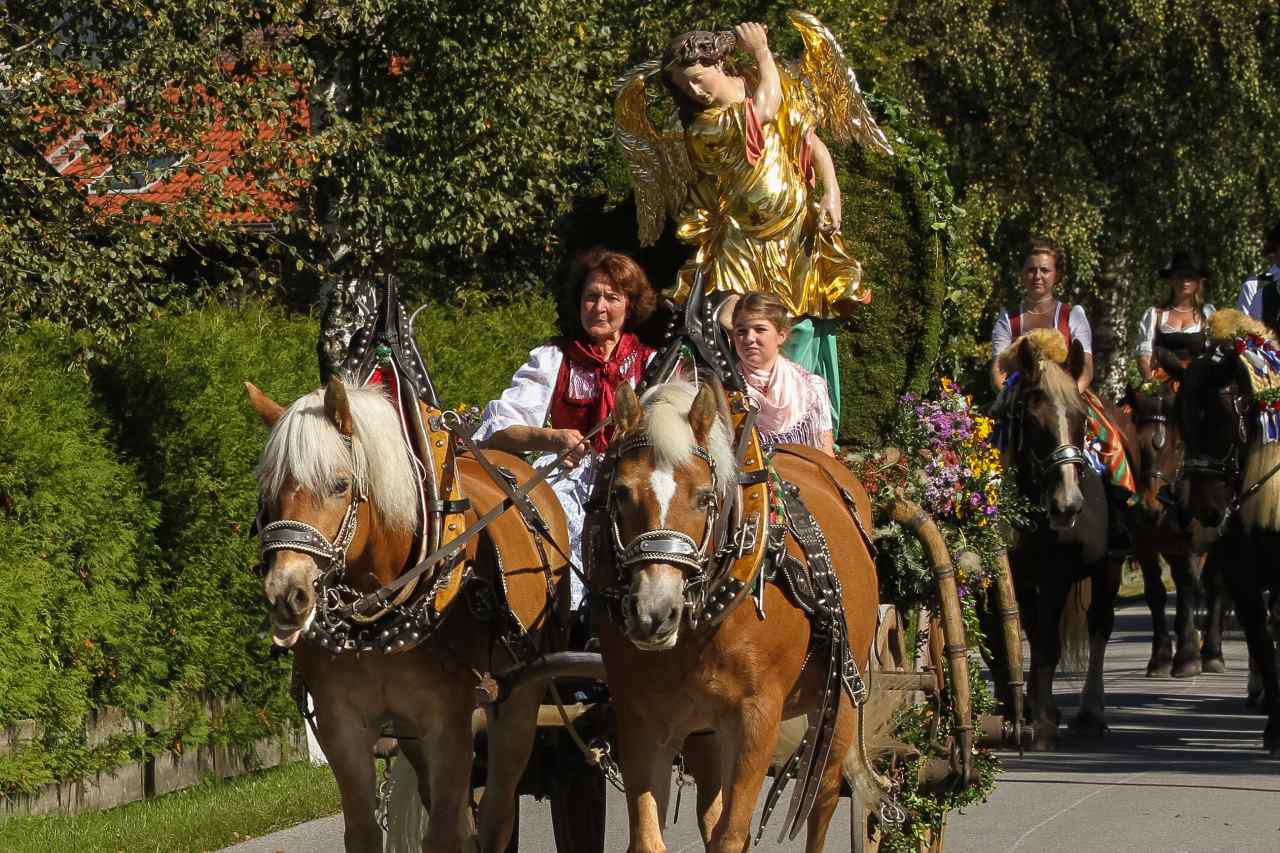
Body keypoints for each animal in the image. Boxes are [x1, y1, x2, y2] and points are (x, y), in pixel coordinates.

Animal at [247, 379, 568, 850]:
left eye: (340, 484)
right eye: (268, 493)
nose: (286, 594)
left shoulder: (448, 723)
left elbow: (444, 833)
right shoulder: (342, 726)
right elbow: (364, 831)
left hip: (519, 701)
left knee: (496, 813)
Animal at [586, 379, 885, 850]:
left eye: (703, 497)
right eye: (620, 493)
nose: (654, 612)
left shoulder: (756, 717)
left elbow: (733, 832)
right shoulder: (640, 718)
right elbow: (653, 837)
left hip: (839, 703)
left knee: (823, 798)